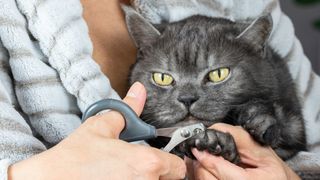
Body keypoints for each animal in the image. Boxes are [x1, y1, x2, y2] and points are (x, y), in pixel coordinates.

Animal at [122, 7, 304, 162]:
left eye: (219, 74)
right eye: (162, 78)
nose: (187, 98)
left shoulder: (295, 122)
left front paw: (258, 117)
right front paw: (214, 140)